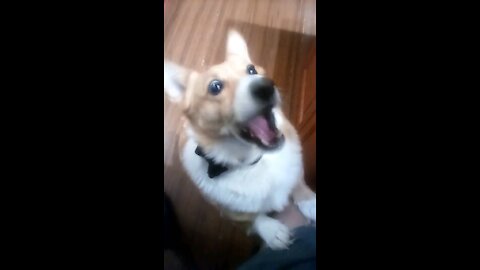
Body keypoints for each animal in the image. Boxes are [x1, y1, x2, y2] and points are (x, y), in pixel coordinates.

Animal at [163, 29, 316, 249]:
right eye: (215, 87)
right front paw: (272, 231)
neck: (254, 162)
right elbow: (251, 219)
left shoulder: (294, 169)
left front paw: (309, 200)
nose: (266, 86)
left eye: (252, 70)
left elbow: (296, 180)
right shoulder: (229, 212)